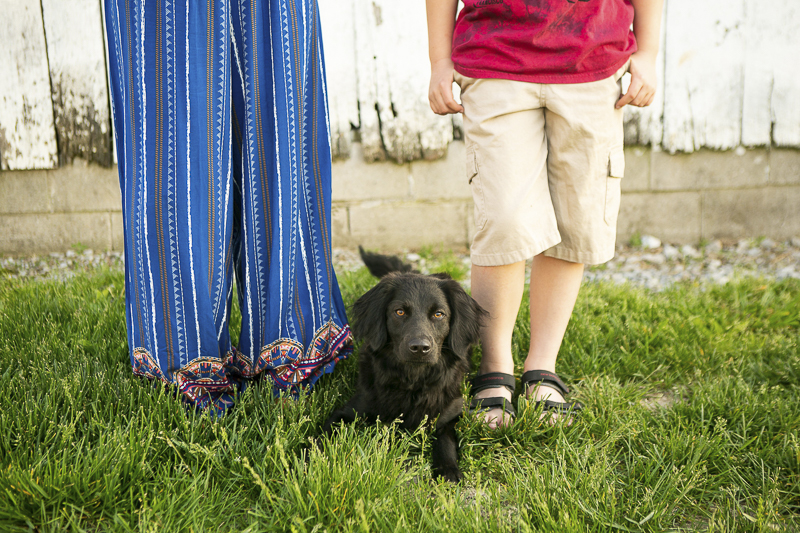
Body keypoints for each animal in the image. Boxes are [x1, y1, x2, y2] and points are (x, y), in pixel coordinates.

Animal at [320, 247, 484, 480]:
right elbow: (322, 437)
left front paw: (449, 470)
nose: (420, 348)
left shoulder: (451, 414)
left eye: (438, 314)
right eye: (399, 312)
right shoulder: (351, 410)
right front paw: (305, 460)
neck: (412, 380)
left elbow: (445, 441)